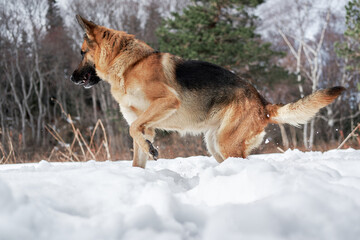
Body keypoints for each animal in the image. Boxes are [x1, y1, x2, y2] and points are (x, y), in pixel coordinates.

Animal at [71, 15, 346, 168]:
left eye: (82, 52)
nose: (71, 78)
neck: (128, 64)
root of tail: (262, 102)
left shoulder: (167, 101)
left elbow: (133, 129)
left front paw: (152, 150)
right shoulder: (144, 126)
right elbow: (137, 146)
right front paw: (147, 154)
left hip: (226, 143)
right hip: (215, 144)